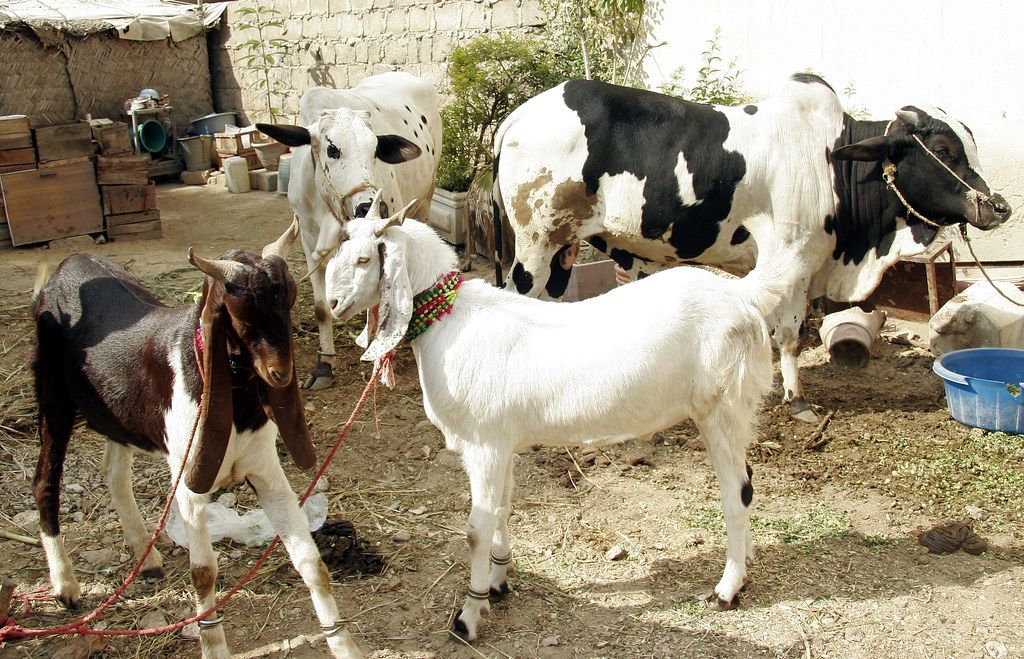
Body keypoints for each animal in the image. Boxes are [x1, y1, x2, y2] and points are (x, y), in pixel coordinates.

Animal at [32, 223, 364, 659]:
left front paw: (344, 645)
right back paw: (66, 585)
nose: (280, 374)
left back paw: (147, 556)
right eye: (239, 314)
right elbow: (204, 571)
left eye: (289, 301)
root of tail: (68, 264)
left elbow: (310, 559)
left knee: (114, 473)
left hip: (118, 413)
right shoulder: (189, 480)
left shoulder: (266, 470)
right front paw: (214, 646)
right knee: (45, 481)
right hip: (52, 396)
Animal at [258, 72, 438, 390]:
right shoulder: (308, 241)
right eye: (332, 149)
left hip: (425, 201)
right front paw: (324, 365)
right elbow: (321, 308)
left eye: (375, 149)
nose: (369, 205)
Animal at [323, 196, 786, 638]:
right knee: (746, 483)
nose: (332, 304)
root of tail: (744, 296)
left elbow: (476, 528)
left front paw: (468, 616)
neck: (451, 322)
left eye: (364, 259)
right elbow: (502, 509)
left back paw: (727, 588)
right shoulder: (502, 444)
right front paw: (498, 582)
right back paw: (745, 561)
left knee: (737, 493)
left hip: (722, 408)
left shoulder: (483, 444)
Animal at [491, 73, 1011, 421]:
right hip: (535, 247)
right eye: (943, 151)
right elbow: (789, 334)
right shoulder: (793, 259)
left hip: (561, 249)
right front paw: (796, 400)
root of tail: (514, 119)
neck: (833, 165)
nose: (999, 207)